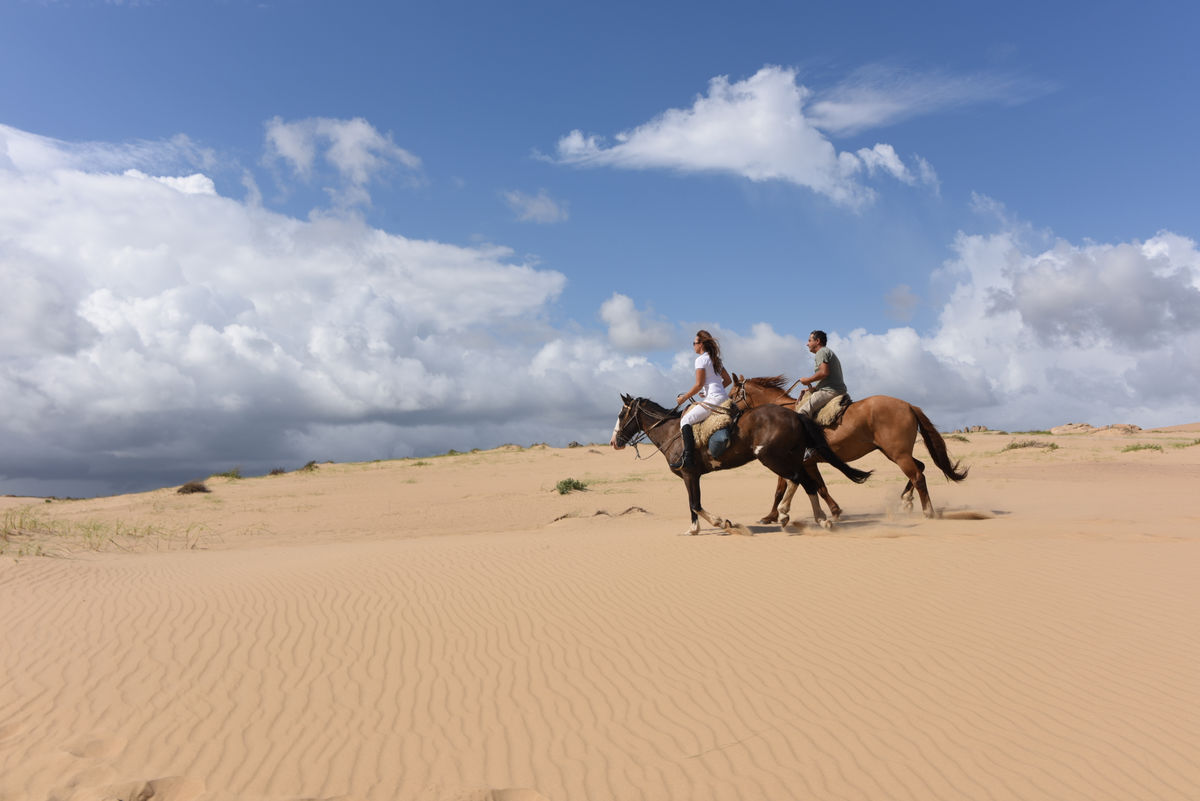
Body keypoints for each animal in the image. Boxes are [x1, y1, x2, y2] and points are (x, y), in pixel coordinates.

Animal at [614, 393, 868, 534]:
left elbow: (695, 504)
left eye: (620, 415)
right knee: (808, 484)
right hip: (793, 458)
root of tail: (796, 415)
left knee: (795, 481)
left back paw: (785, 514)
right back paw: (821, 520)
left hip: (772, 458)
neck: (672, 432)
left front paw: (721, 523)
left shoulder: (689, 474)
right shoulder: (692, 476)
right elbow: (693, 504)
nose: (614, 442)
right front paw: (694, 529)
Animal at [724, 374, 969, 520]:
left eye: (732, 395)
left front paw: (774, 516)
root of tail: (908, 405)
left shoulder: (799, 462)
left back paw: (928, 511)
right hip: (893, 452)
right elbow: (808, 488)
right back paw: (906, 500)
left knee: (918, 475)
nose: (728, 414)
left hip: (898, 454)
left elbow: (805, 488)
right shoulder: (802, 463)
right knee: (920, 468)